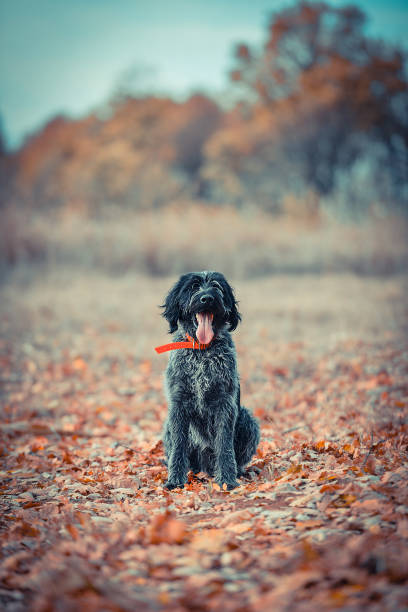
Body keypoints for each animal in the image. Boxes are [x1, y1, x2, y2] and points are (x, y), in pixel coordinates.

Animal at [155, 270, 260, 490]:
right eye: (193, 286)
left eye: (216, 286)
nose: (207, 298)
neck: (202, 352)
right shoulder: (179, 404)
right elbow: (179, 446)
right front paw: (175, 480)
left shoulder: (225, 404)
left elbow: (224, 445)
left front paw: (227, 480)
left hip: (247, 419)